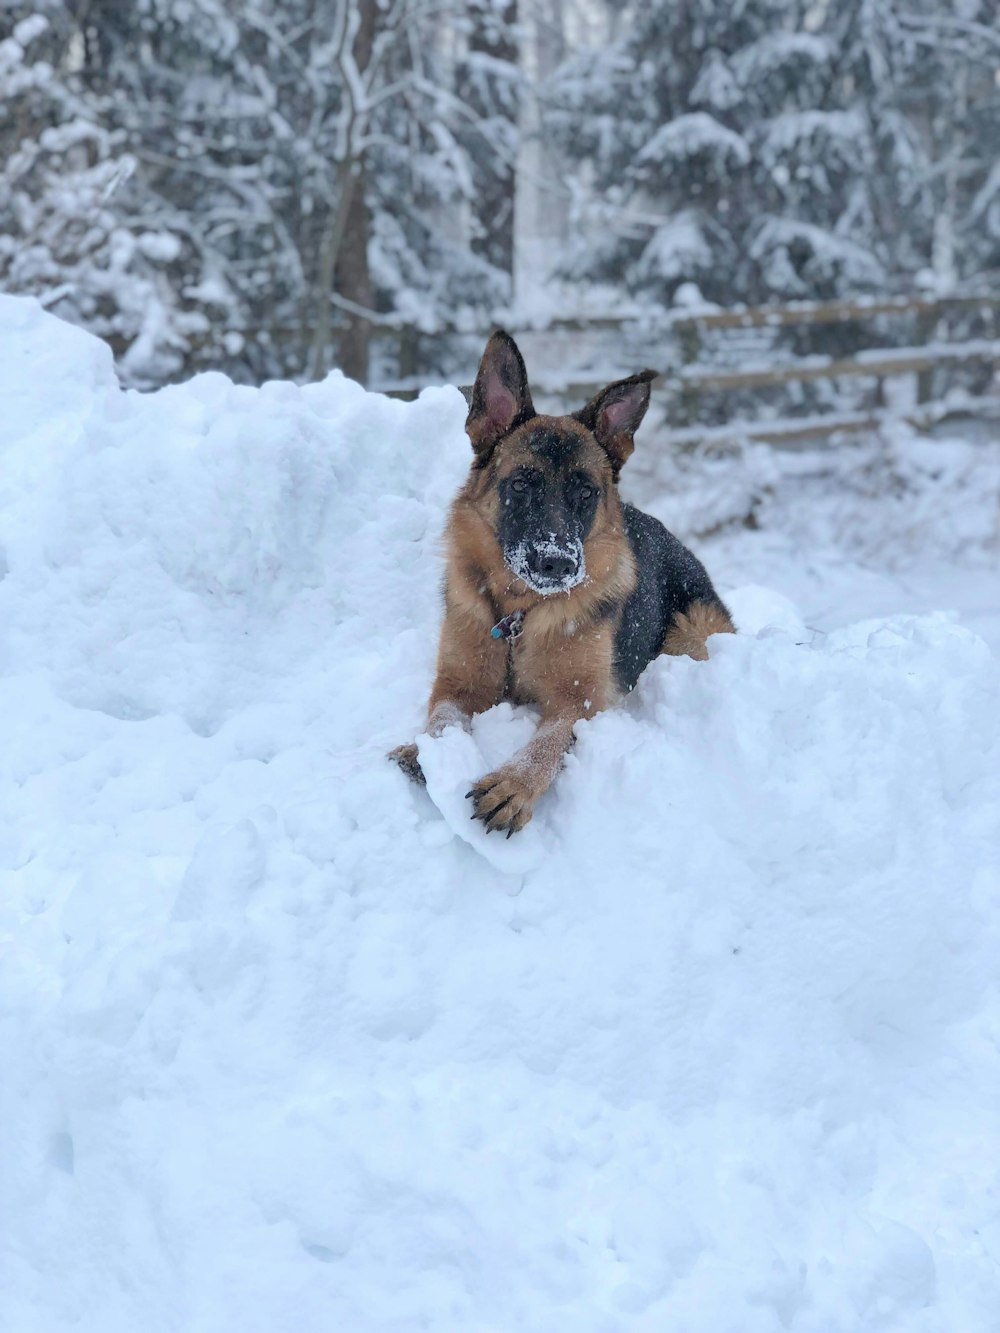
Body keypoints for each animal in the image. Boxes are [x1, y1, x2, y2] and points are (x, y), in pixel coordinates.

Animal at [394, 330, 736, 831]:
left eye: (585, 492)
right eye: (521, 484)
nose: (556, 563)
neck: (519, 613)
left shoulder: (582, 702)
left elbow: (548, 741)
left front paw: (513, 784)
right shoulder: (458, 683)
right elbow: (443, 718)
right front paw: (426, 753)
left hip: (690, 630)